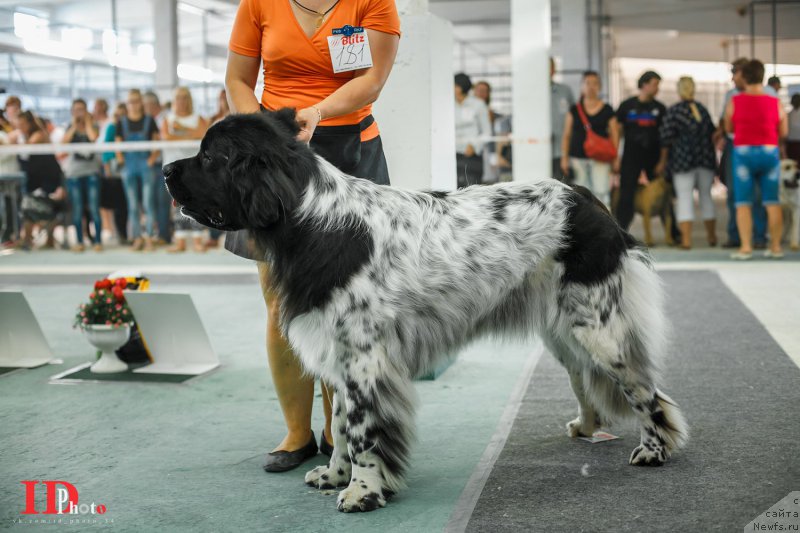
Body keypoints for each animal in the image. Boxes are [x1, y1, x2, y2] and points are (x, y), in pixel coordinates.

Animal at [162, 108, 688, 512]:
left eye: (210, 156)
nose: (166, 170)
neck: (314, 219)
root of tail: (589, 200)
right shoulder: (339, 352)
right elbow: (339, 425)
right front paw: (333, 475)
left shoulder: (365, 359)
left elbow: (361, 432)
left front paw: (362, 492)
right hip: (563, 329)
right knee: (585, 379)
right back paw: (586, 427)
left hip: (598, 326)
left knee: (646, 390)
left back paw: (653, 449)